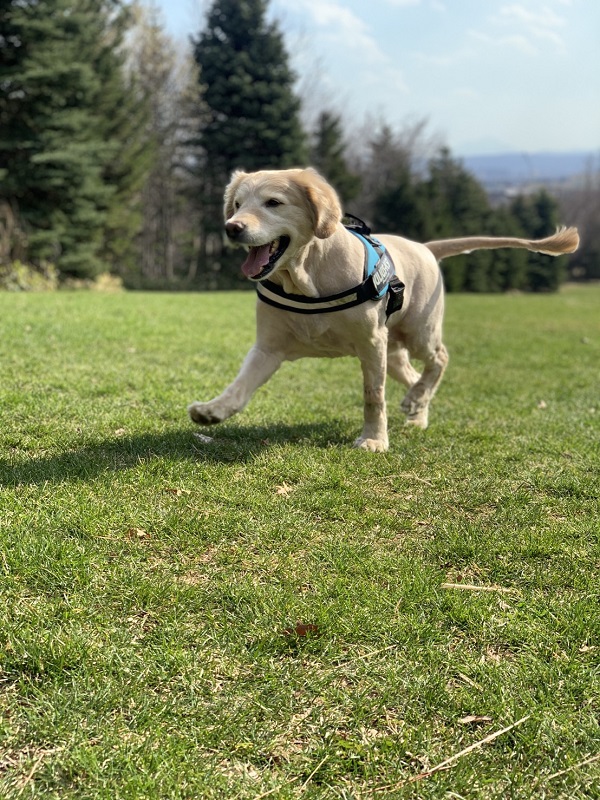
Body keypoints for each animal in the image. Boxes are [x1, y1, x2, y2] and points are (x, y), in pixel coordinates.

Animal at [190, 168, 580, 450]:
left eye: (273, 202)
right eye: (237, 204)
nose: (232, 227)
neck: (306, 276)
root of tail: (425, 247)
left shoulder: (371, 343)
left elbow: (373, 397)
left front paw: (374, 439)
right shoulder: (268, 347)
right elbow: (239, 386)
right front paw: (212, 410)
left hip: (418, 332)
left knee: (439, 359)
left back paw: (417, 401)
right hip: (393, 352)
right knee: (414, 375)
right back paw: (417, 407)